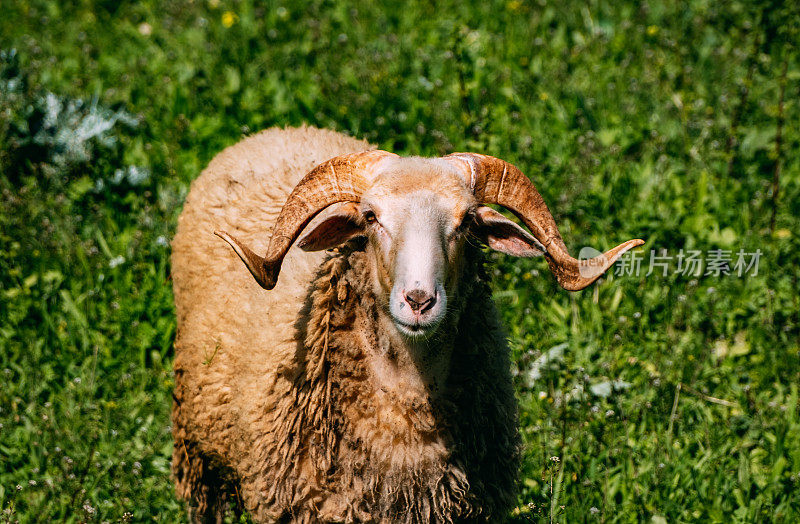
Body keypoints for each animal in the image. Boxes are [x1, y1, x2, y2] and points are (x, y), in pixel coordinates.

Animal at [170, 125, 644, 520]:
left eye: (467, 221)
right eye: (370, 217)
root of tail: (273, 132)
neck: (407, 416)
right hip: (199, 455)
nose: (419, 301)